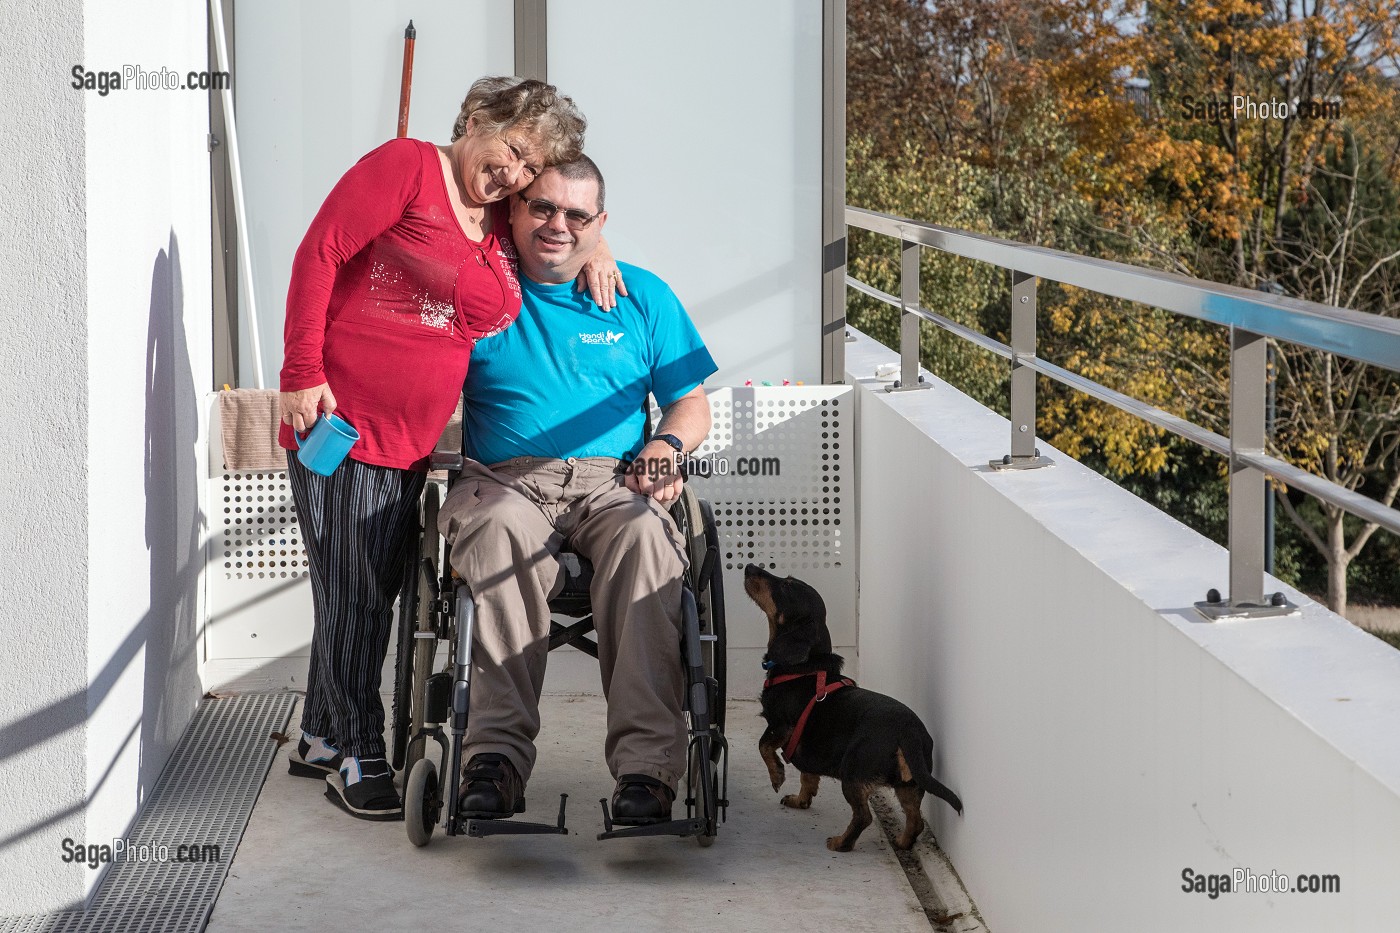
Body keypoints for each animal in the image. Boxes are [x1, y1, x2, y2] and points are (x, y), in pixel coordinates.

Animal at [744, 563, 963, 846]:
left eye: (786, 586)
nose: (749, 566)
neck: (805, 668)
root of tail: (909, 732)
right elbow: (807, 776)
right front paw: (800, 800)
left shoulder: (780, 725)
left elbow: (763, 746)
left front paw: (777, 776)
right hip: (909, 784)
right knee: (915, 820)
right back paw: (901, 843)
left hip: (852, 771)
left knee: (863, 817)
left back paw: (840, 843)